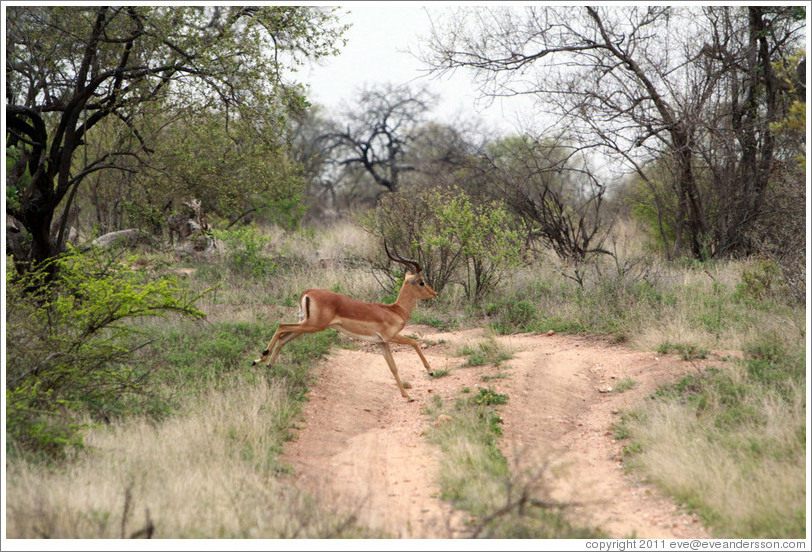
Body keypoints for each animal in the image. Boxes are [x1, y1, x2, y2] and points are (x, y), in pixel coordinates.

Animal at [252, 243, 438, 401]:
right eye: (421, 282)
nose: (434, 293)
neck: (395, 310)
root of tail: (307, 292)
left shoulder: (382, 343)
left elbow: (393, 367)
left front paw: (407, 395)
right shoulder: (390, 337)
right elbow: (414, 343)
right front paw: (429, 372)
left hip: (306, 326)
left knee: (283, 337)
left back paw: (265, 364)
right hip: (312, 326)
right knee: (281, 326)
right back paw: (261, 358)